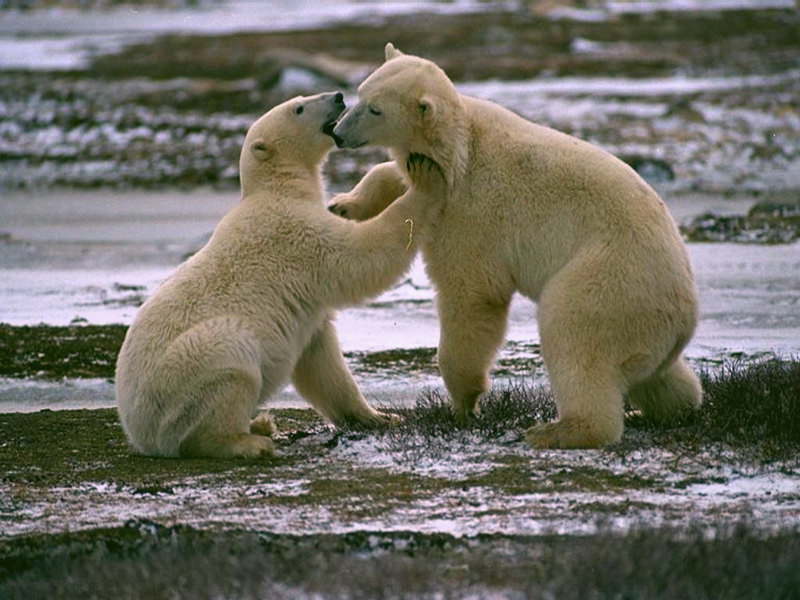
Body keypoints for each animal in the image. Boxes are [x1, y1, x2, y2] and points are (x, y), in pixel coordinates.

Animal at [115, 92, 434, 460]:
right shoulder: (295, 232)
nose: (338, 96)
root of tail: (139, 433)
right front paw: (424, 180)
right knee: (229, 366)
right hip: (185, 374)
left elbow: (322, 362)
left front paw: (380, 417)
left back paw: (260, 424)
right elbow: (361, 257)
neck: (276, 188)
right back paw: (250, 440)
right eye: (298, 108)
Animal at [330, 45, 700, 450]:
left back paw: (557, 430)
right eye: (360, 93)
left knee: (575, 338)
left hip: (611, 281)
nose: (337, 133)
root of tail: (685, 318)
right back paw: (664, 409)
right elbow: (397, 178)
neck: (459, 145)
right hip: (647, 327)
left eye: (376, 109)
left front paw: (463, 403)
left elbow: (472, 295)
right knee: (660, 376)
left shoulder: (472, 210)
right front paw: (343, 205)